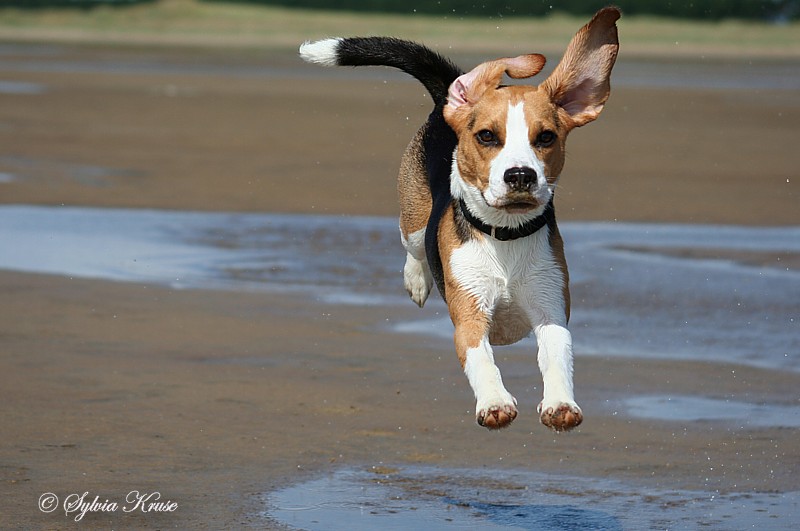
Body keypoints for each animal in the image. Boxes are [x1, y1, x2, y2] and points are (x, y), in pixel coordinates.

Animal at [300, 7, 620, 432]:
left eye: (546, 137)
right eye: (486, 136)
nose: (521, 176)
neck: (505, 237)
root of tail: (445, 104)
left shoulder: (551, 307)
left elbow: (557, 355)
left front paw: (560, 404)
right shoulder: (469, 316)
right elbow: (481, 360)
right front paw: (495, 402)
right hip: (415, 223)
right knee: (414, 247)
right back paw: (417, 281)